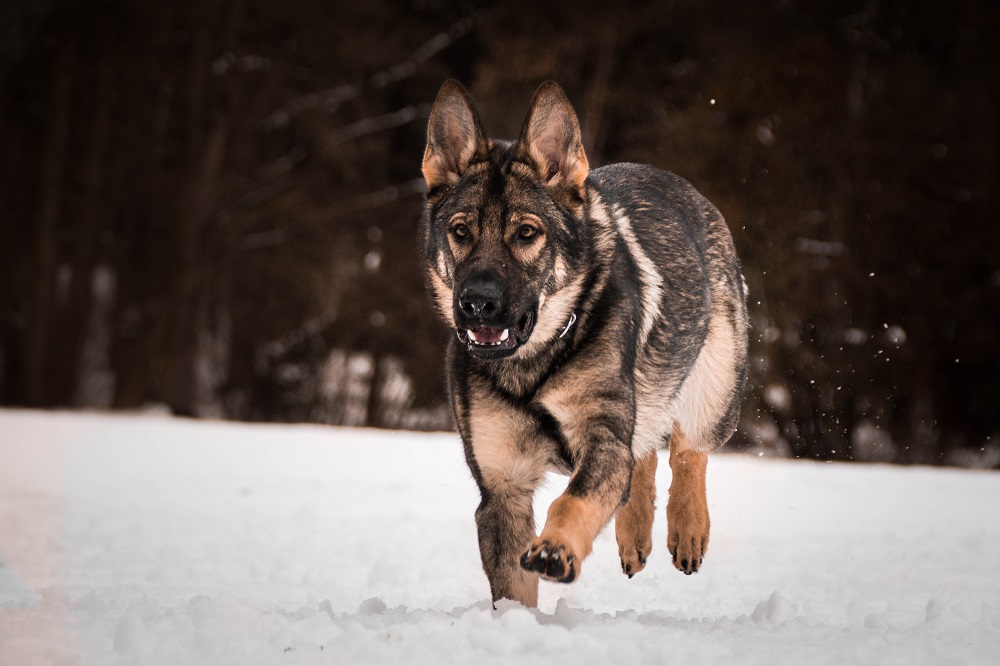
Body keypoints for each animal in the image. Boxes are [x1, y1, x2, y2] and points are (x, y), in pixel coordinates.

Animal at [418, 80, 748, 604]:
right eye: (461, 232)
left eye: (526, 233)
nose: (477, 303)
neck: (536, 363)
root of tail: (681, 185)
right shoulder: (503, 490)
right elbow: (513, 589)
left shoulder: (599, 439)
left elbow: (573, 500)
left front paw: (556, 547)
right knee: (643, 453)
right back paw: (634, 532)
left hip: (716, 388)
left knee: (688, 449)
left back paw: (688, 527)